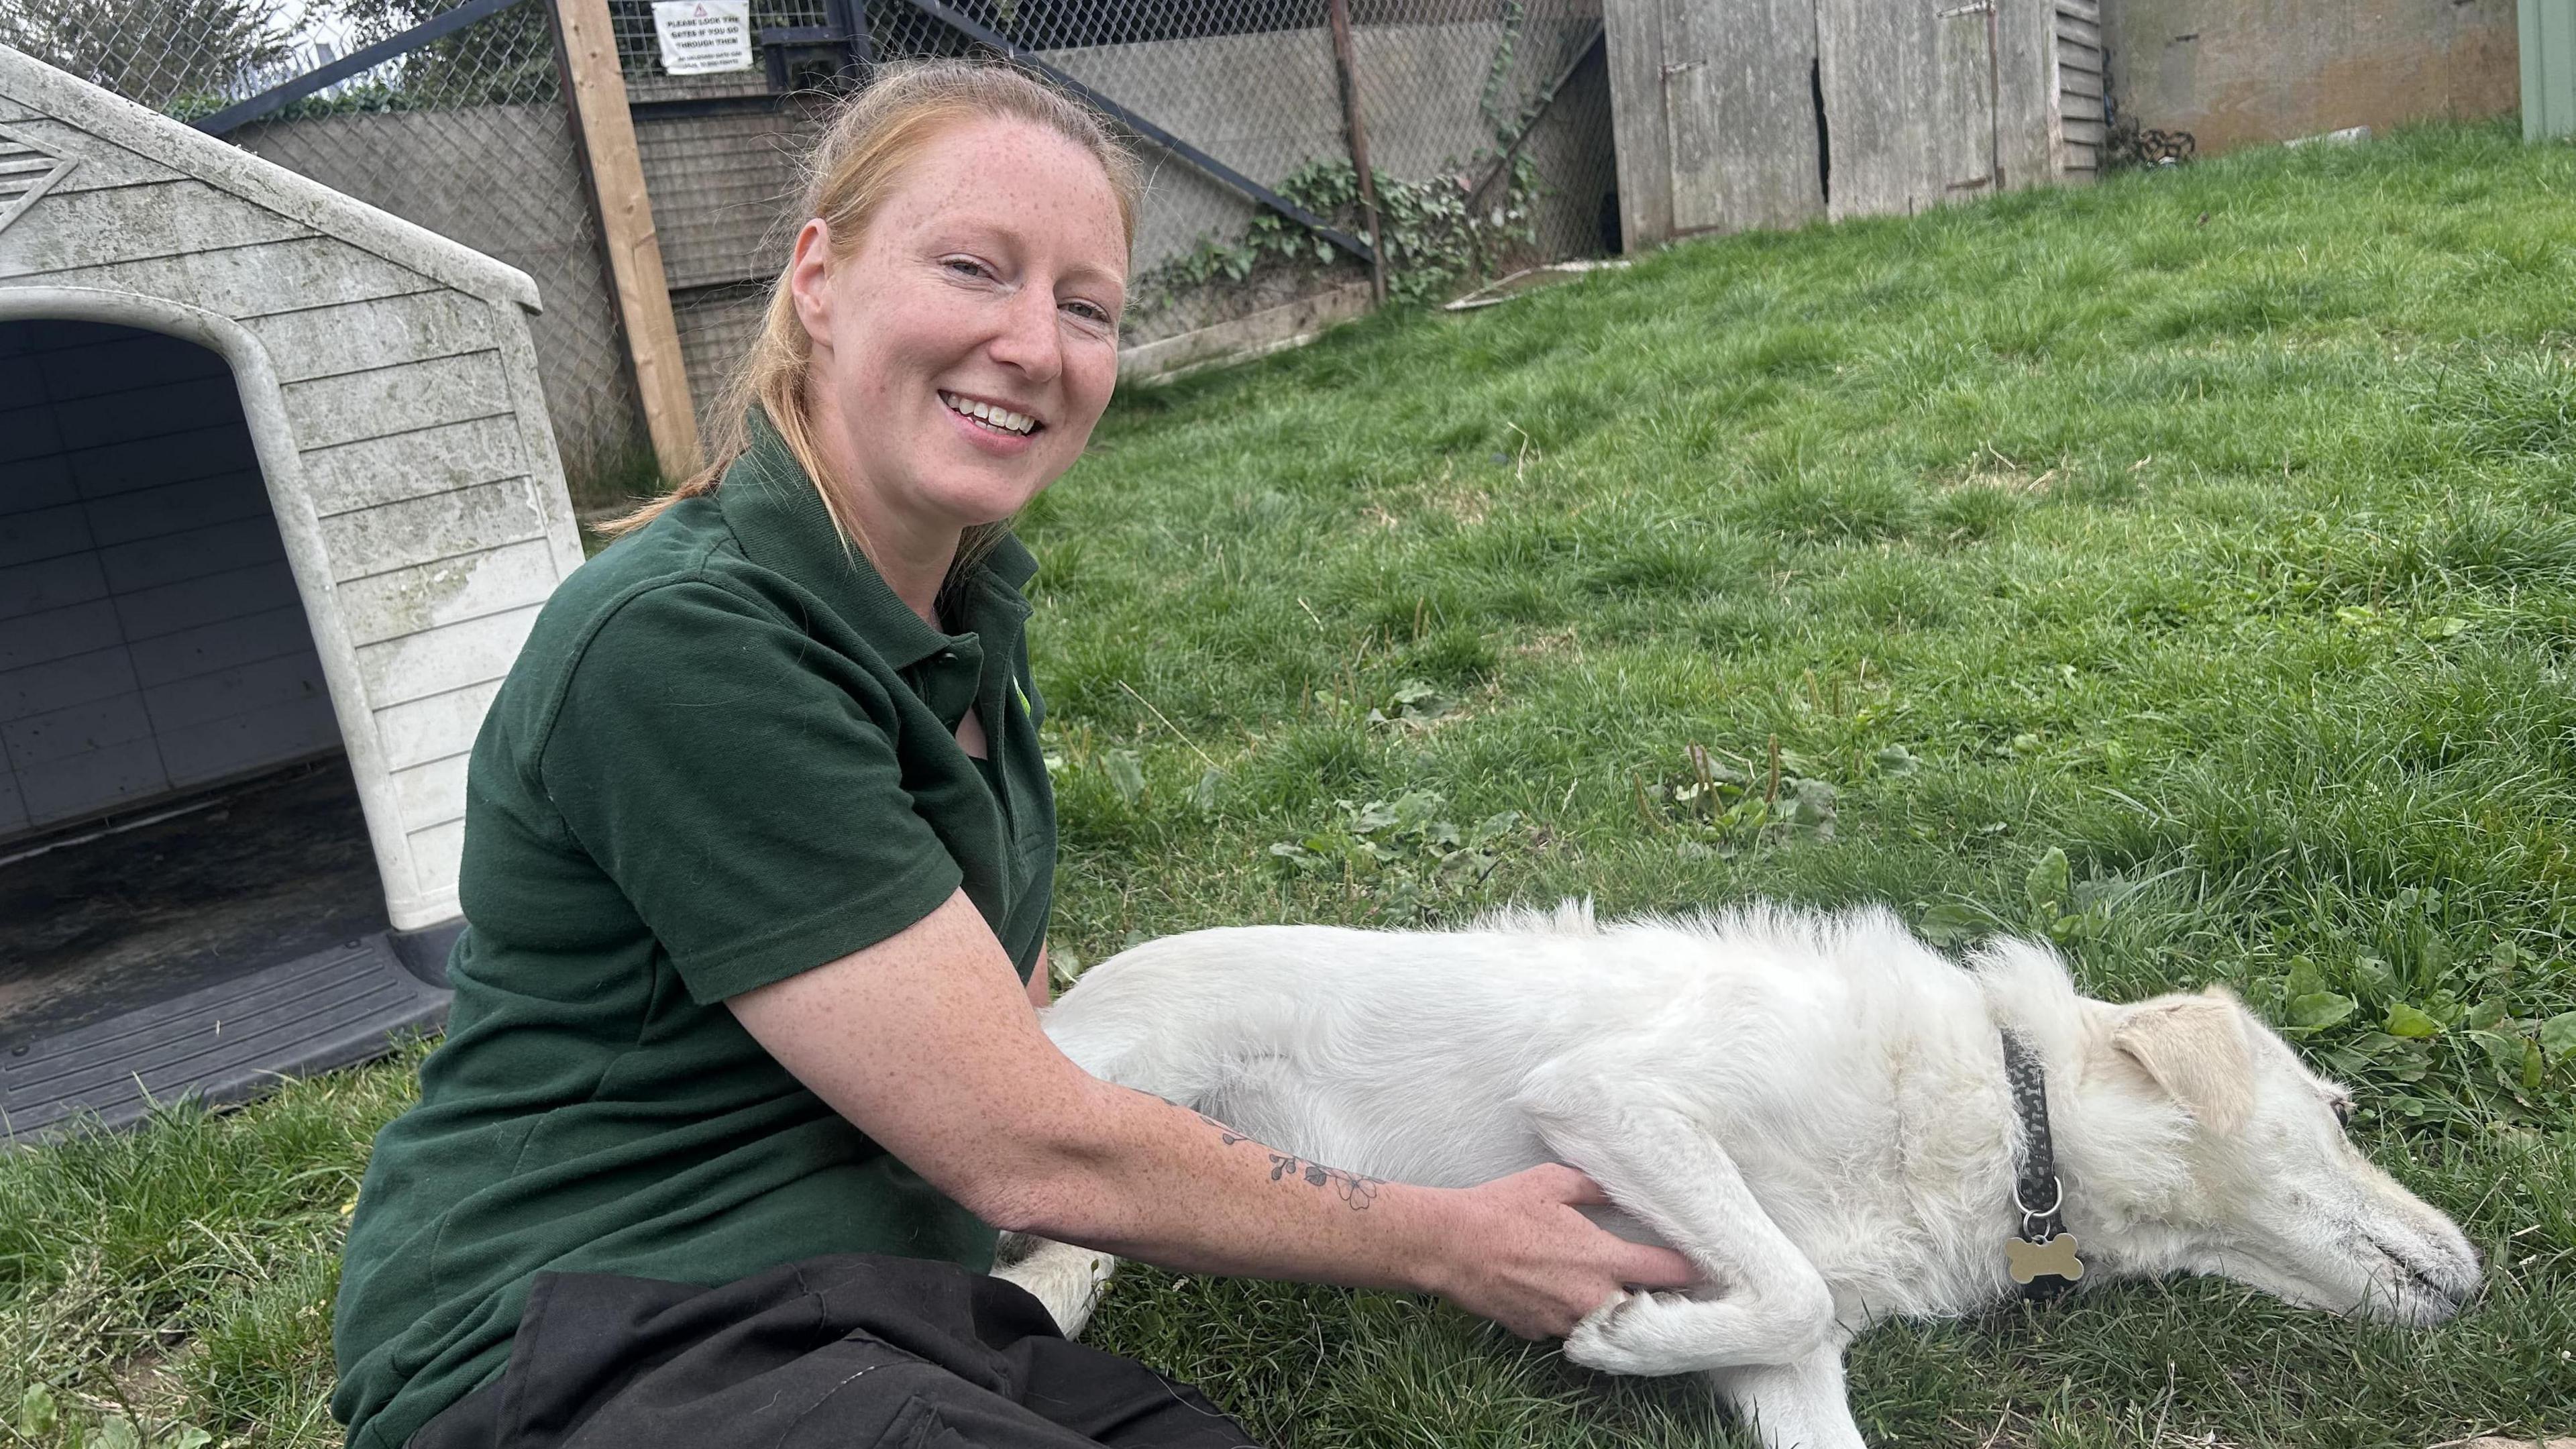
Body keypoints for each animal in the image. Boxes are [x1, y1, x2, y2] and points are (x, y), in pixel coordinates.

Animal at [999, 902, 2473, 1444]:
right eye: (2341, 1112)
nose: (2479, 1283)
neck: (2014, 1119)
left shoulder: (1789, 1364)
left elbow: (1787, 1329)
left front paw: (1647, 1334)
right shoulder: (1614, 1102)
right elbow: (1791, 1289)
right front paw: (1613, 1333)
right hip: (1106, 1085)